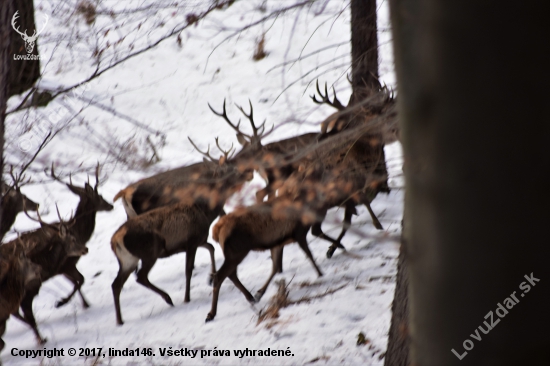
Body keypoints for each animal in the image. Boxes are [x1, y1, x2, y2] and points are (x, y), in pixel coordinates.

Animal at [48, 166, 114, 308]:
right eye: (99, 196)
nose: (111, 205)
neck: (80, 234)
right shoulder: (66, 265)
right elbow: (80, 280)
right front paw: (62, 301)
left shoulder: (66, 267)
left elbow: (78, 282)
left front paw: (85, 304)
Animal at [112, 147, 254, 324]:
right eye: (231, 170)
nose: (250, 172)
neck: (205, 211)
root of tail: (115, 241)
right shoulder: (191, 241)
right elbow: (189, 269)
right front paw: (187, 298)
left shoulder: (198, 240)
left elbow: (211, 248)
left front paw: (210, 276)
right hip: (150, 251)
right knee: (141, 277)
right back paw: (168, 299)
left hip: (127, 260)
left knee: (116, 284)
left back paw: (120, 320)